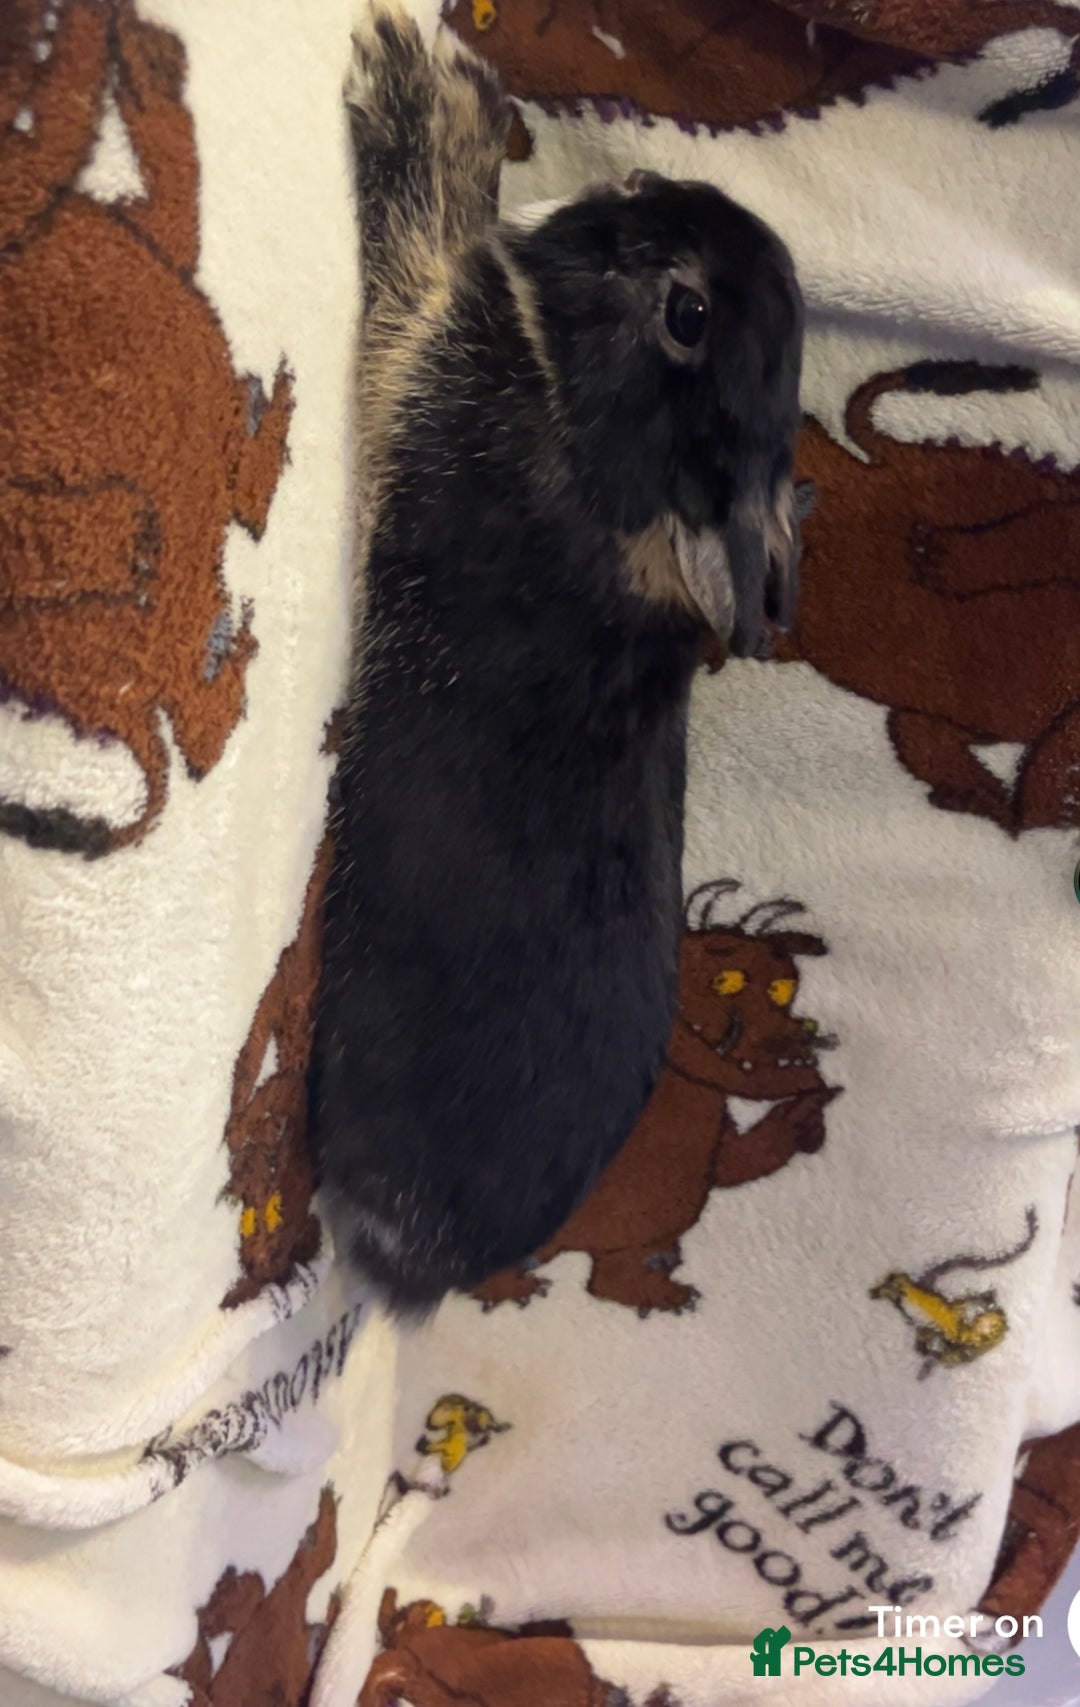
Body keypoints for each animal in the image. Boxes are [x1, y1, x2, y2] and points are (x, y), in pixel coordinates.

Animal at [310, 2, 805, 1315]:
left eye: (687, 315)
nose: (635, 187)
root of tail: (428, 1265)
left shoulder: (412, 374)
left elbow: (420, 245)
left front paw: (411, 77)